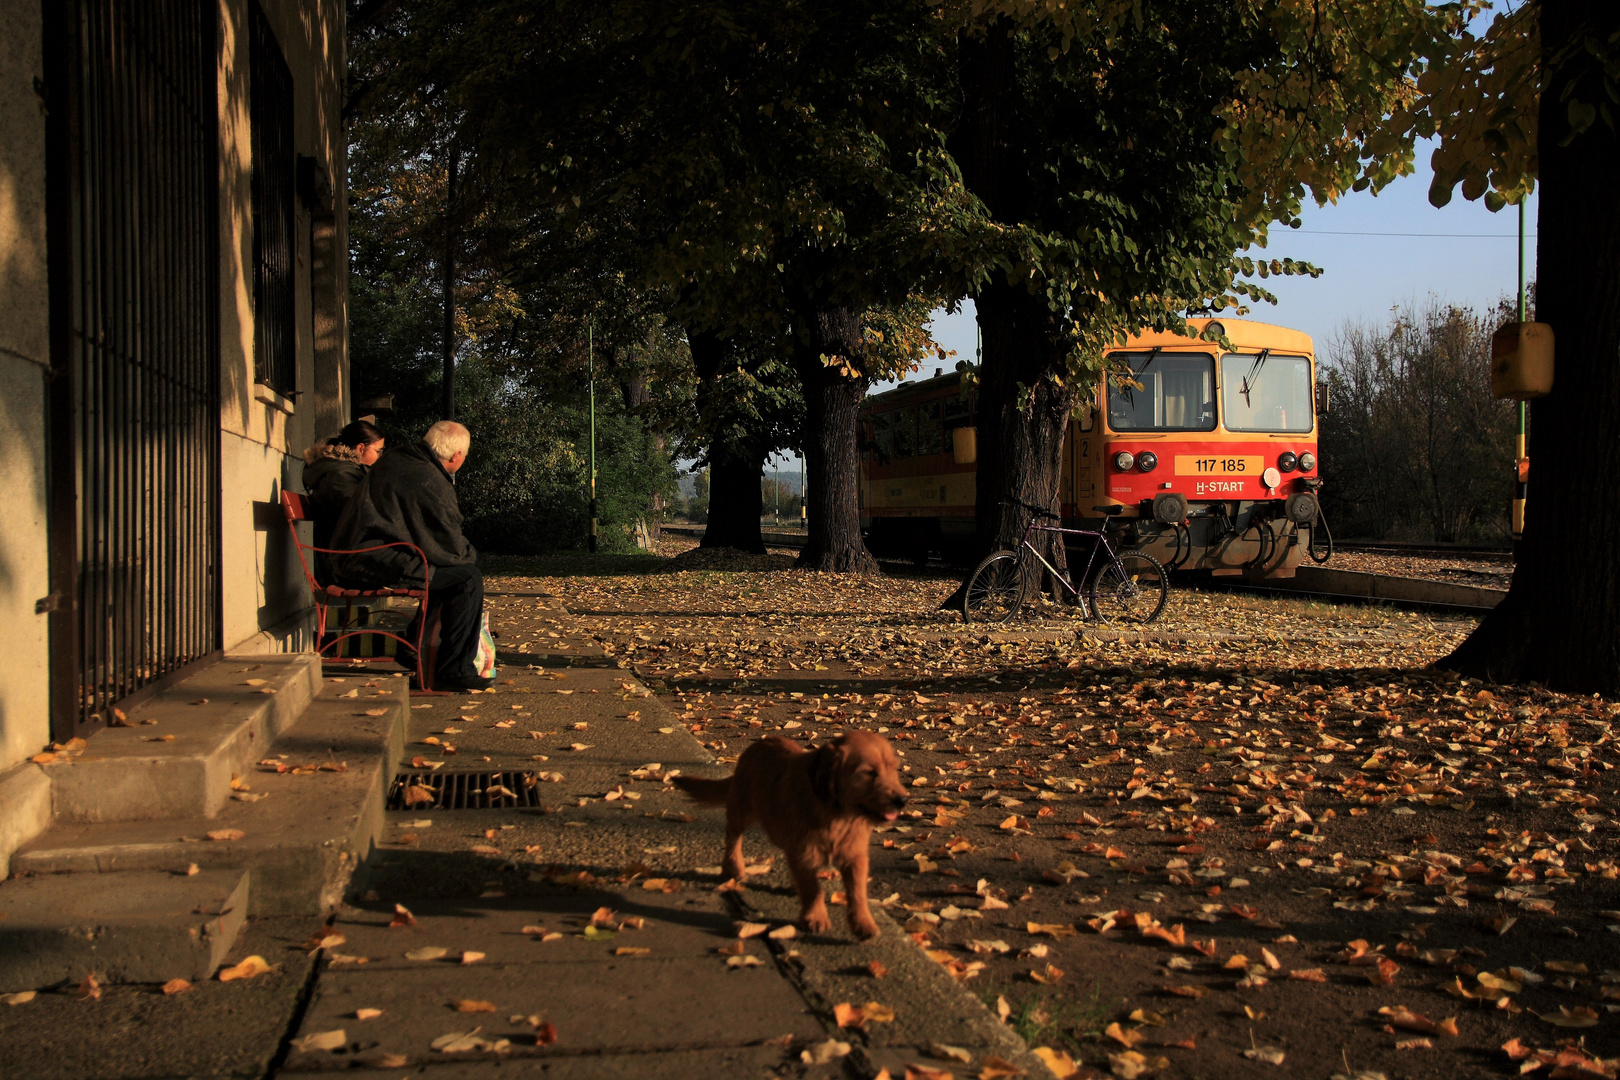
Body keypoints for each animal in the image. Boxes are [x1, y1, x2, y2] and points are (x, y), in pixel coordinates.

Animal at [667, 731, 907, 939]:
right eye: (867, 772)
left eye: (893, 769)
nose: (903, 800)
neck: (837, 816)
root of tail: (758, 744)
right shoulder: (803, 853)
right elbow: (813, 889)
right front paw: (815, 917)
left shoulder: (855, 857)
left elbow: (857, 892)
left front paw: (864, 924)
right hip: (740, 811)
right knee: (733, 837)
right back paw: (733, 867)